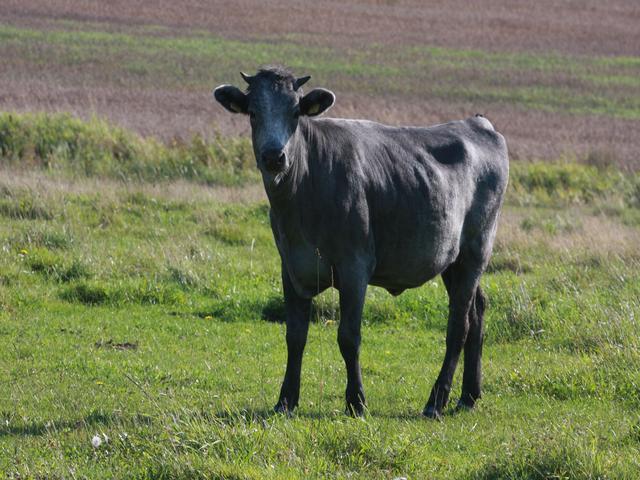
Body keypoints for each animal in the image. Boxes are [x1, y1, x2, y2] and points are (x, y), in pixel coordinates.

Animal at [213, 66, 508, 418]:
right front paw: (286, 400)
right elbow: (295, 335)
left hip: (475, 250)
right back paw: (468, 396)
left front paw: (356, 401)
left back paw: (436, 401)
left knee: (458, 326)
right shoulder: (292, 266)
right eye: (253, 113)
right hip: (453, 260)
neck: (303, 196)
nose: (274, 156)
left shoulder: (354, 267)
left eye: (296, 112)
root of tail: (476, 123)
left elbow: (348, 336)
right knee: (477, 312)